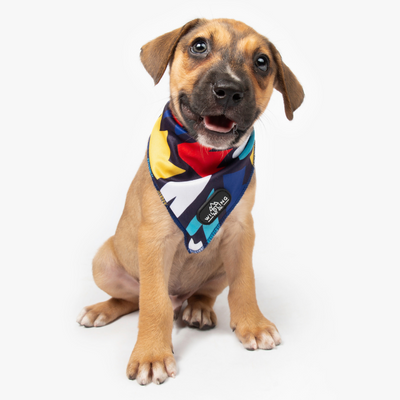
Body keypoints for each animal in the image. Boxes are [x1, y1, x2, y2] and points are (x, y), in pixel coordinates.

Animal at [76, 18, 304, 384]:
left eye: (262, 62)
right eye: (199, 46)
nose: (229, 89)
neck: (203, 162)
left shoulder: (242, 232)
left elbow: (245, 282)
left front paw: (253, 325)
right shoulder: (154, 240)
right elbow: (152, 302)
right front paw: (152, 353)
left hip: (219, 267)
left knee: (203, 293)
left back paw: (198, 308)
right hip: (104, 262)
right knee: (133, 299)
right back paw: (102, 309)